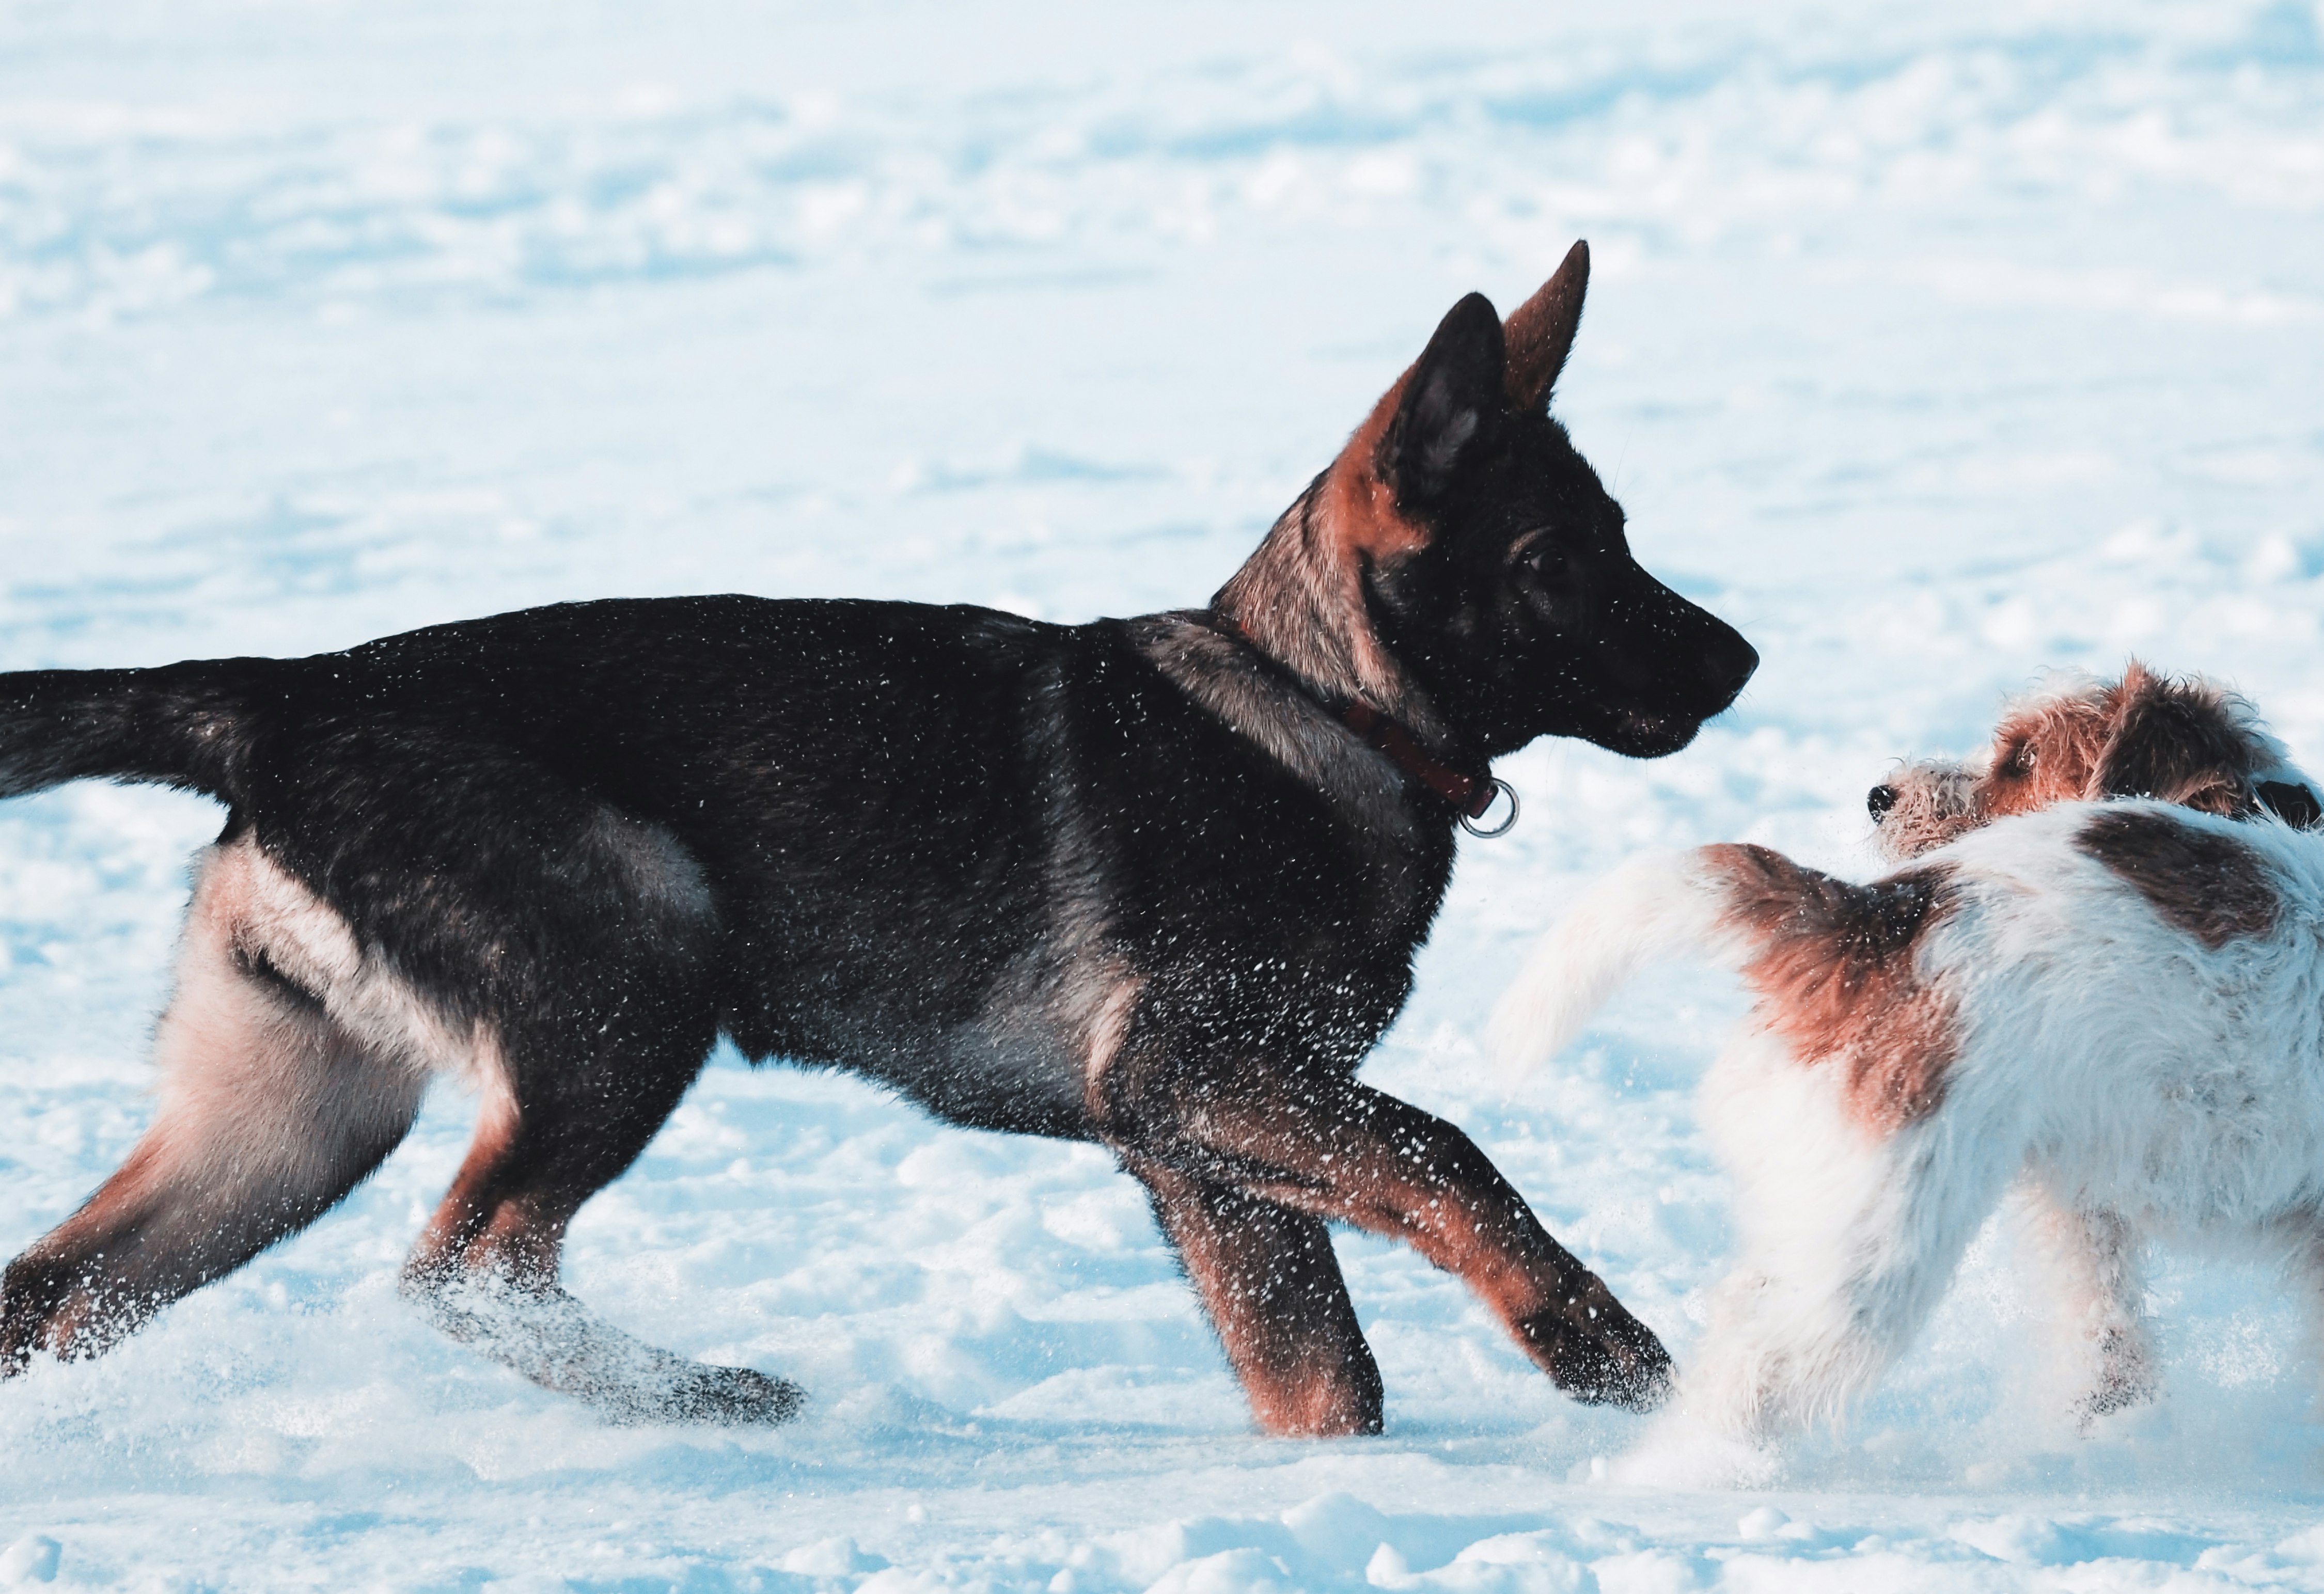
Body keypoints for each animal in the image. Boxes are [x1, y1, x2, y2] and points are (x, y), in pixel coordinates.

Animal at [0, 244, 1748, 1441]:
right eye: (1557, 559)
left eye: (1621, 539)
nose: (1740, 661)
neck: (1320, 708)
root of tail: (285, 694)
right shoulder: (1193, 1075)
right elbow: (1451, 1156)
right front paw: (1595, 1344)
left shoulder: (1200, 1151)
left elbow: (1322, 1372)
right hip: (632, 981)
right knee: (469, 1263)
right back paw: (705, 1393)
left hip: (289, 1122)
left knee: (61, 1291)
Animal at [1487, 669, 2324, 1478]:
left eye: (2022, 760)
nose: (1881, 796)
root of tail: (1871, 915)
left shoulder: (2084, 1210)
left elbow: (2105, 1334)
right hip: (1878, 1241)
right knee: (1752, 1374)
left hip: (1827, 1205)